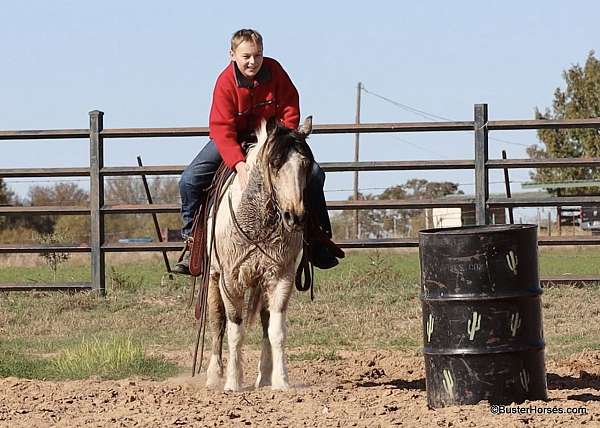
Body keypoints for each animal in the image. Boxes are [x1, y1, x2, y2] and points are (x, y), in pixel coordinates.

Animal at [204, 117, 314, 392]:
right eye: (274, 164)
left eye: (307, 165)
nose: (295, 216)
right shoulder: (230, 280)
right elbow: (234, 330)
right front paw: (232, 382)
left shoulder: (282, 277)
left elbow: (277, 330)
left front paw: (281, 381)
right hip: (213, 277)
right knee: (217, 323)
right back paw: (214, 376)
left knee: (265, 321)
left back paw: (264, 377)